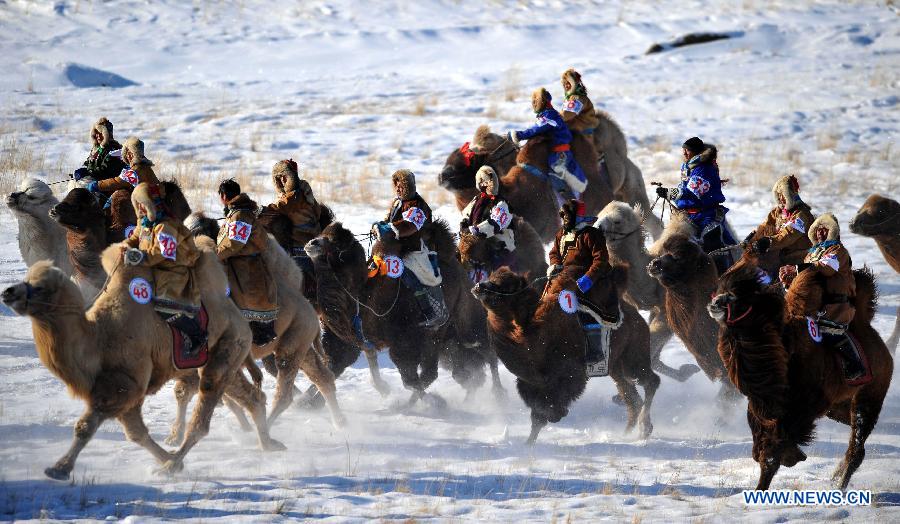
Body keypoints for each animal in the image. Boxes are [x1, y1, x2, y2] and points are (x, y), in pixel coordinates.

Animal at [0, 238, 282, 481]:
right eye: (26, 278)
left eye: (39, 287)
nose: (8, 293)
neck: (98, 339)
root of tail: (237, 314)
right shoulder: (120, 392)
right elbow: (137, 434)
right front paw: (166, 457)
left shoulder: (123, 386)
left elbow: (86, 426)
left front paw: (59, 469)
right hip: (223, 357)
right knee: (251, 396)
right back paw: (268, 443)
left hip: (228, 347)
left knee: (204, 415)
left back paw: (172, 465)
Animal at [169, 212, 345, 445]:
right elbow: (187, 391)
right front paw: (175, 435)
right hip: (299, 342)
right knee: (322, 376)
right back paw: (340, 421)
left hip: (291, 344)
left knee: (286, 389)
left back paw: (267, 428)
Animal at [306, 220, 504, 407]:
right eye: (323, 234)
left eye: (336, 243)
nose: (312, 243)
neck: (360, 295)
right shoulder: (346, 341)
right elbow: (334, 364)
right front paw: (308, 403)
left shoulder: (404, 340)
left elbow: (409, 378)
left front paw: (435, 402)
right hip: (446, 340)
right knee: (462, 372)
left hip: (466, 326)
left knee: (486, 352)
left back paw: (499, 395)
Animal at [472, 265, 659, 444]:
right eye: (492, 276)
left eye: (508, 285)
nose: (479, 286)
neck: (531, 332)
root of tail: (638, 319)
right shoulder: (532, 385)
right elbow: (537, 415)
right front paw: (528, 443)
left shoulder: (566, 378)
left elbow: (545, 411)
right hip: (616, 368)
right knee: (632, 398)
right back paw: (627, 433)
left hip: (633, 360)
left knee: (651, 382)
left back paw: (644, 429)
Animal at [708, 262, 892, 490]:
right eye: (720, 289)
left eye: (735, 295)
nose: (714, 303)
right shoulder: (764, 410)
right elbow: (763, 445)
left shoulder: (800, 410)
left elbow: (771, 451)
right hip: (838, 408)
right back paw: (835, 476)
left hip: (868, 397)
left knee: (857, 446)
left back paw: (839, 485)